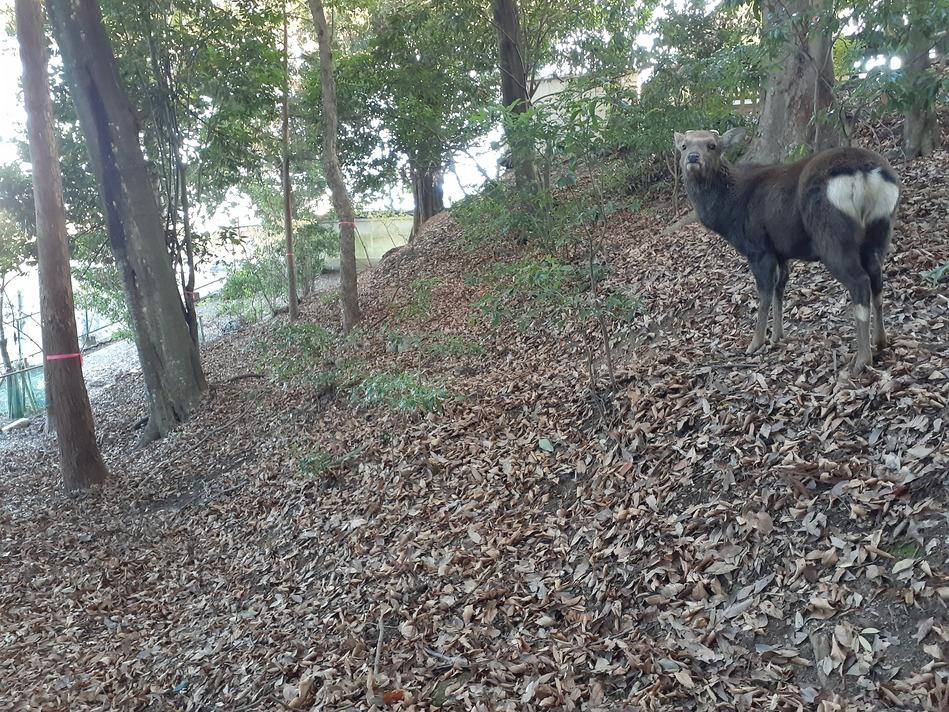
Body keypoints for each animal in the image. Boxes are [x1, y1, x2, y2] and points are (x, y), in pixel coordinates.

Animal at [674, 127, 900, 375]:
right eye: (684, 146)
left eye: (712, 145)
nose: (693, 157)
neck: (729, 213)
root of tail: (867, 175)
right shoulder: (782, 252)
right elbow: (780, 288)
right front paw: (777, 335)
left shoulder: (759, 247)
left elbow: (764, 292)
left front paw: (756, 342)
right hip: (879, 231)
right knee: (877, 279)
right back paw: (880, 341)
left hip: (833, 235)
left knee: (860, 282)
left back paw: (861, 360)